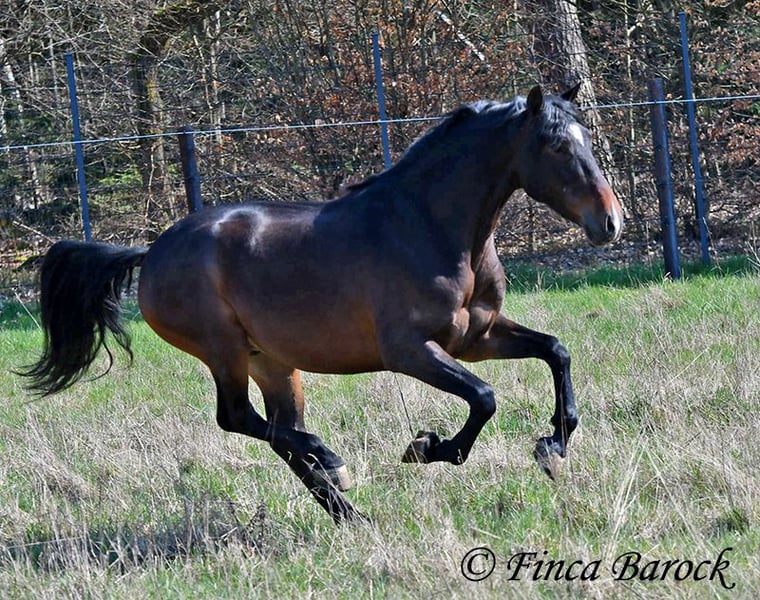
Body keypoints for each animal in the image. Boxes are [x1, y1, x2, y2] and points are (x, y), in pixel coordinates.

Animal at [21, 85, 623, 523]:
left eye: (587, 138)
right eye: (558, 146)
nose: (610, 222)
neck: (431, 227)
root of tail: (151, 251)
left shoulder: (477, 337)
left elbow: (555, 351)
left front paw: (553, 447)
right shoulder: (411, 350)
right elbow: (485, 398)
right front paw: (427, 447)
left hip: (272, 362)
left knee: (275, 432)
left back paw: (348, 511)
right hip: (224, 350)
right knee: (239, 419)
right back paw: (334, 463)